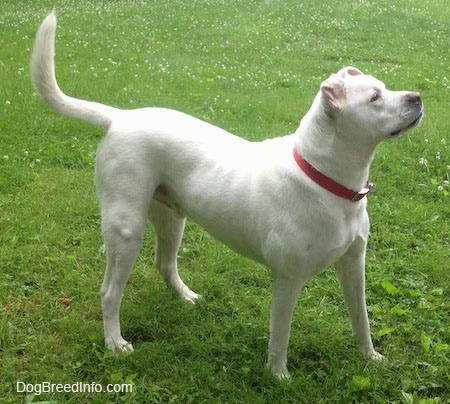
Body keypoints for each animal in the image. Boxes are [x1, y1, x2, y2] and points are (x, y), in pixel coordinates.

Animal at [30, 12, 422, 378]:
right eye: (374, 98)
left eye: (383, 87)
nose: (417, 97)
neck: (326, 179)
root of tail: (120, 118)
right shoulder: (288, 279)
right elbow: (280, 336)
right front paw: (279, 377)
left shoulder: (354, 265)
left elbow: (361, 319)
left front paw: (370, 357)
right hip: (126, 228)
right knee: (110, 291)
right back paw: (115, 341)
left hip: (172, 218)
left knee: (164, 263)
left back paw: (185, 296)